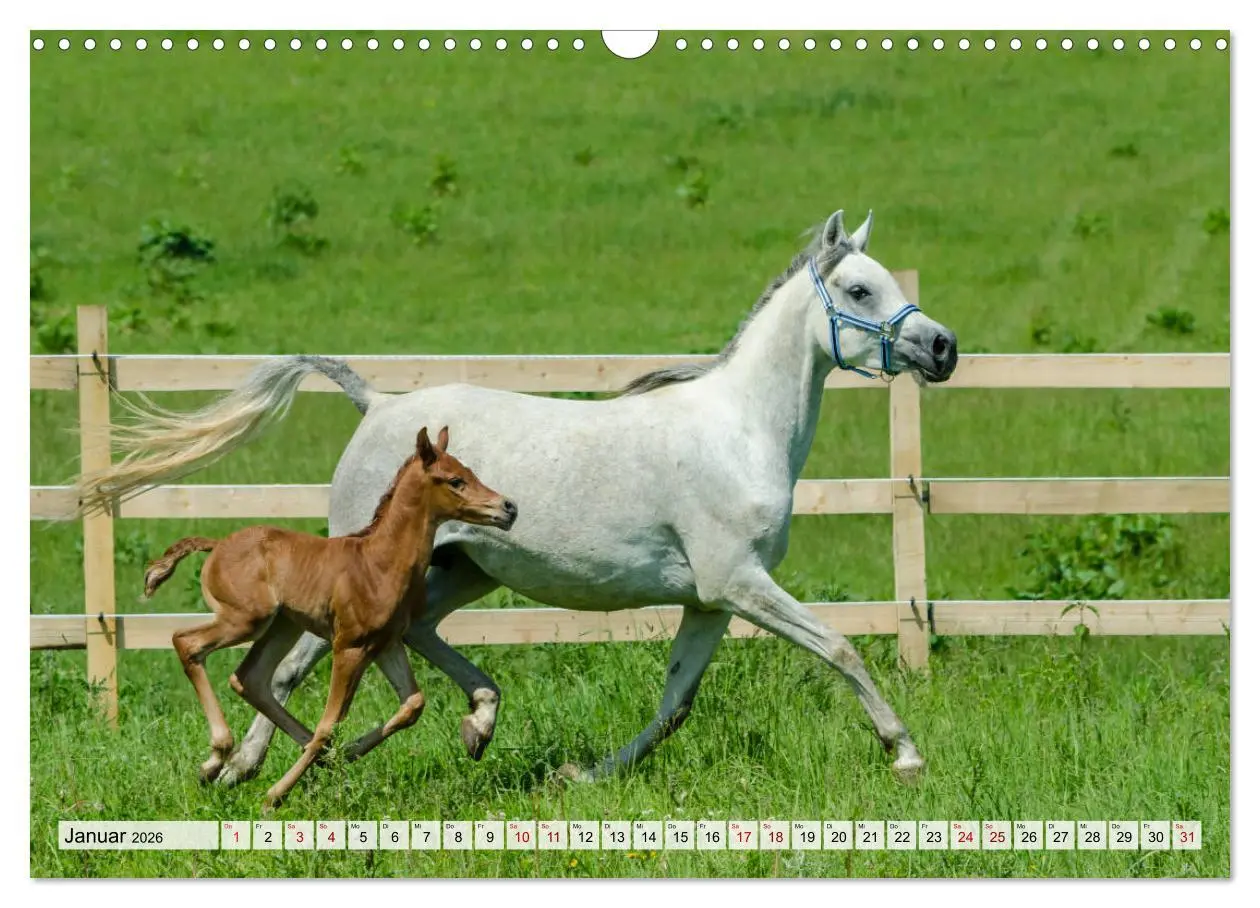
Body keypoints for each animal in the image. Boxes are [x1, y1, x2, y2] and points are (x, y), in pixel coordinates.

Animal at [141, 426, 517, 807]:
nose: (509, 508)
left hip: (283, 625)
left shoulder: (385, 643)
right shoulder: (349, 646)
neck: (379, 562)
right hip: (246, 619)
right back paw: (217, 759)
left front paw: (345, 753)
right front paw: (274, 796)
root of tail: (217, 544)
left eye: (471, 472)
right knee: (187, 643)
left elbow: (412, 704)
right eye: (456, 480)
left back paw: (301, 758)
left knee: (250, 678)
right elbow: (330, 723)